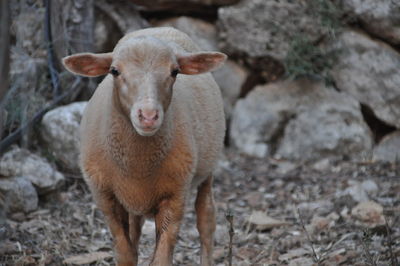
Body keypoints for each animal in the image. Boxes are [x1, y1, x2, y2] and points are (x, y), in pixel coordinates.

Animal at [61, 27, 227, 266]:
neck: (138, 163)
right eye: (114, 71)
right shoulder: (106, 197)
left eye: (175, 71)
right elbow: (126, 253)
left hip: (207, 170)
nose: (148, 116)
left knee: (206, 218)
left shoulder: (175, 195)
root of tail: (162, 28)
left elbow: (161, 258)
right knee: (136, 230)